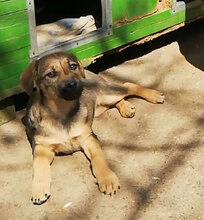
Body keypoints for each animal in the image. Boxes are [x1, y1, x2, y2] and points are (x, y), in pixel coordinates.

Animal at [19, 51, 165, 205]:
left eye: (73, 66)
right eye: (51, 74)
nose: (74, 85)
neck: (62, 112)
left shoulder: (88, 138)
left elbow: (98, 158)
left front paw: (107, 179)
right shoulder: (42, 146)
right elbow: (39, 166)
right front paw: (39, 189)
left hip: (107, 93)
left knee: (128, 85)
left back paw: (153, 95)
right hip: (101, 106)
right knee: (117, 99)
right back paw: (127, 108)